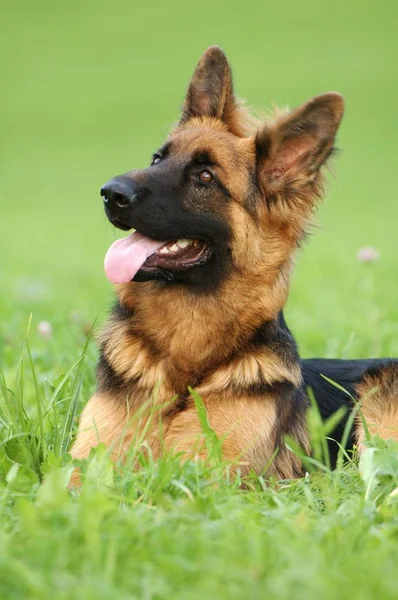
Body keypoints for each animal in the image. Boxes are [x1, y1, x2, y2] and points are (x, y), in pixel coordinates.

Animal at [69, 44, 398, 486]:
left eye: (205, 177)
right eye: (156, 159)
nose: (109, 192)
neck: (184, 361)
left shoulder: (211, 477)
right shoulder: (85, 466)